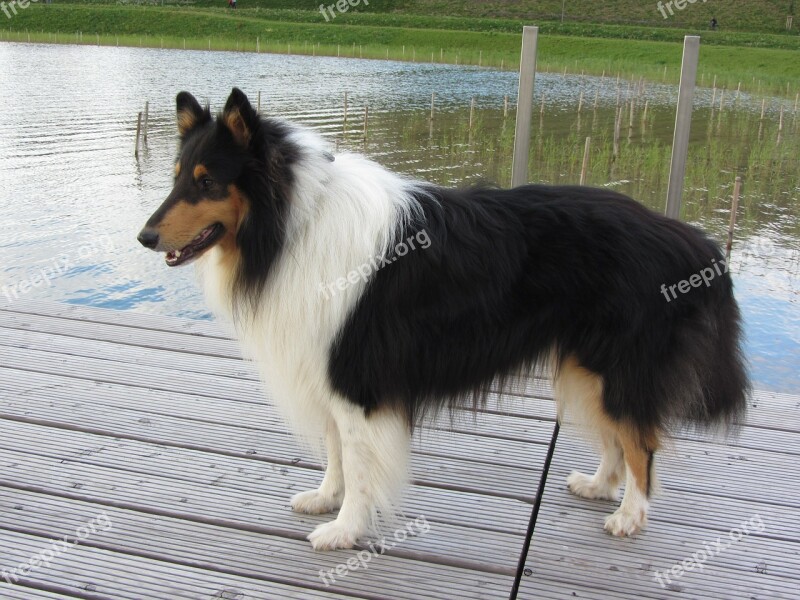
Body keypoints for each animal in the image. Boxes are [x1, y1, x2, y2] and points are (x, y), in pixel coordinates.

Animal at [136, 86, 752, 552]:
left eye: (208, 182)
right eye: (176, 176)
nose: (144, 237)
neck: (291, 224)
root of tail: (694, 240)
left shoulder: (357, 381)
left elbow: (359, 464)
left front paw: (344, 530)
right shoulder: (328, 370)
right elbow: (337, 454)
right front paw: (326, 499)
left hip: (617, 366)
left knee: (641, 443)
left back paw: (629, 516)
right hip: (586, 368)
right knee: (618, 440)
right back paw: (599, 487)